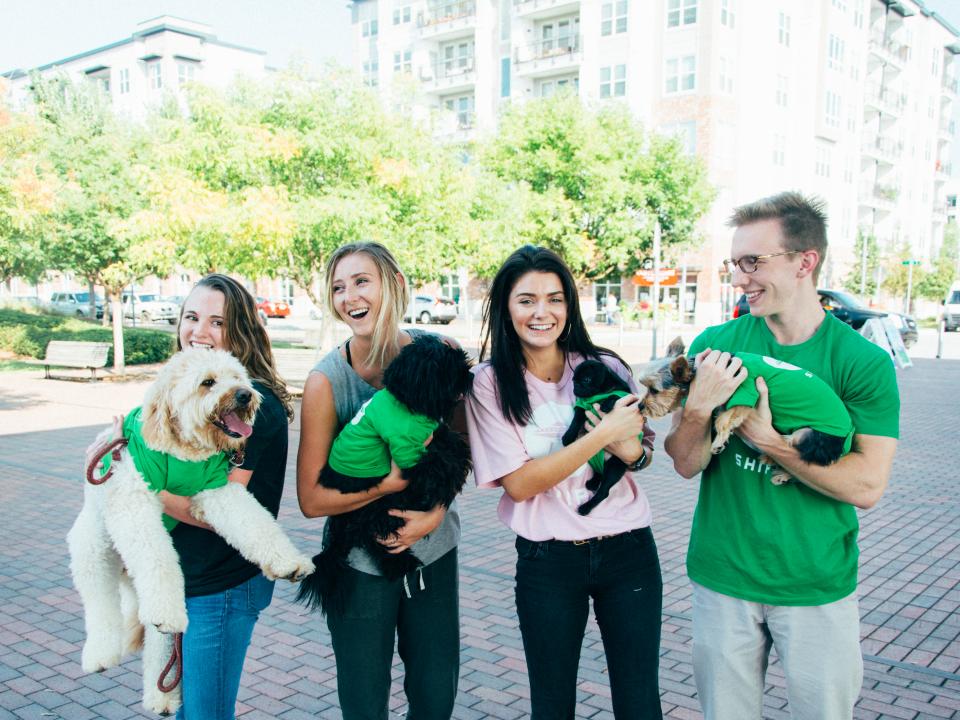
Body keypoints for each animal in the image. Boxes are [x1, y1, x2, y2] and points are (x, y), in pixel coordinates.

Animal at [294, 334, 470, 616]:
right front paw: (451, 476)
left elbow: (446, 439)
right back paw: (402, 563)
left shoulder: (429, 434)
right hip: (377, 511)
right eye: (451, 368)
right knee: (379, 544)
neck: (408, 402)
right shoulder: (407, 449)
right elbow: (435, 465)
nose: (470, 374)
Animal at [560, 362, 632, 516]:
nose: (576, 386)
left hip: (615, 466)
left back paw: (585, 507)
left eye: (586, 379)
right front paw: (568, 436)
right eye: (574, 380)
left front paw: (607, 403)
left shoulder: (626, 397)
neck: (600, 392)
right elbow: (576, 420)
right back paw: (592, 483)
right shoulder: (582, 406)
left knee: (604, 492)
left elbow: (615, 395)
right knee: (599, 472)